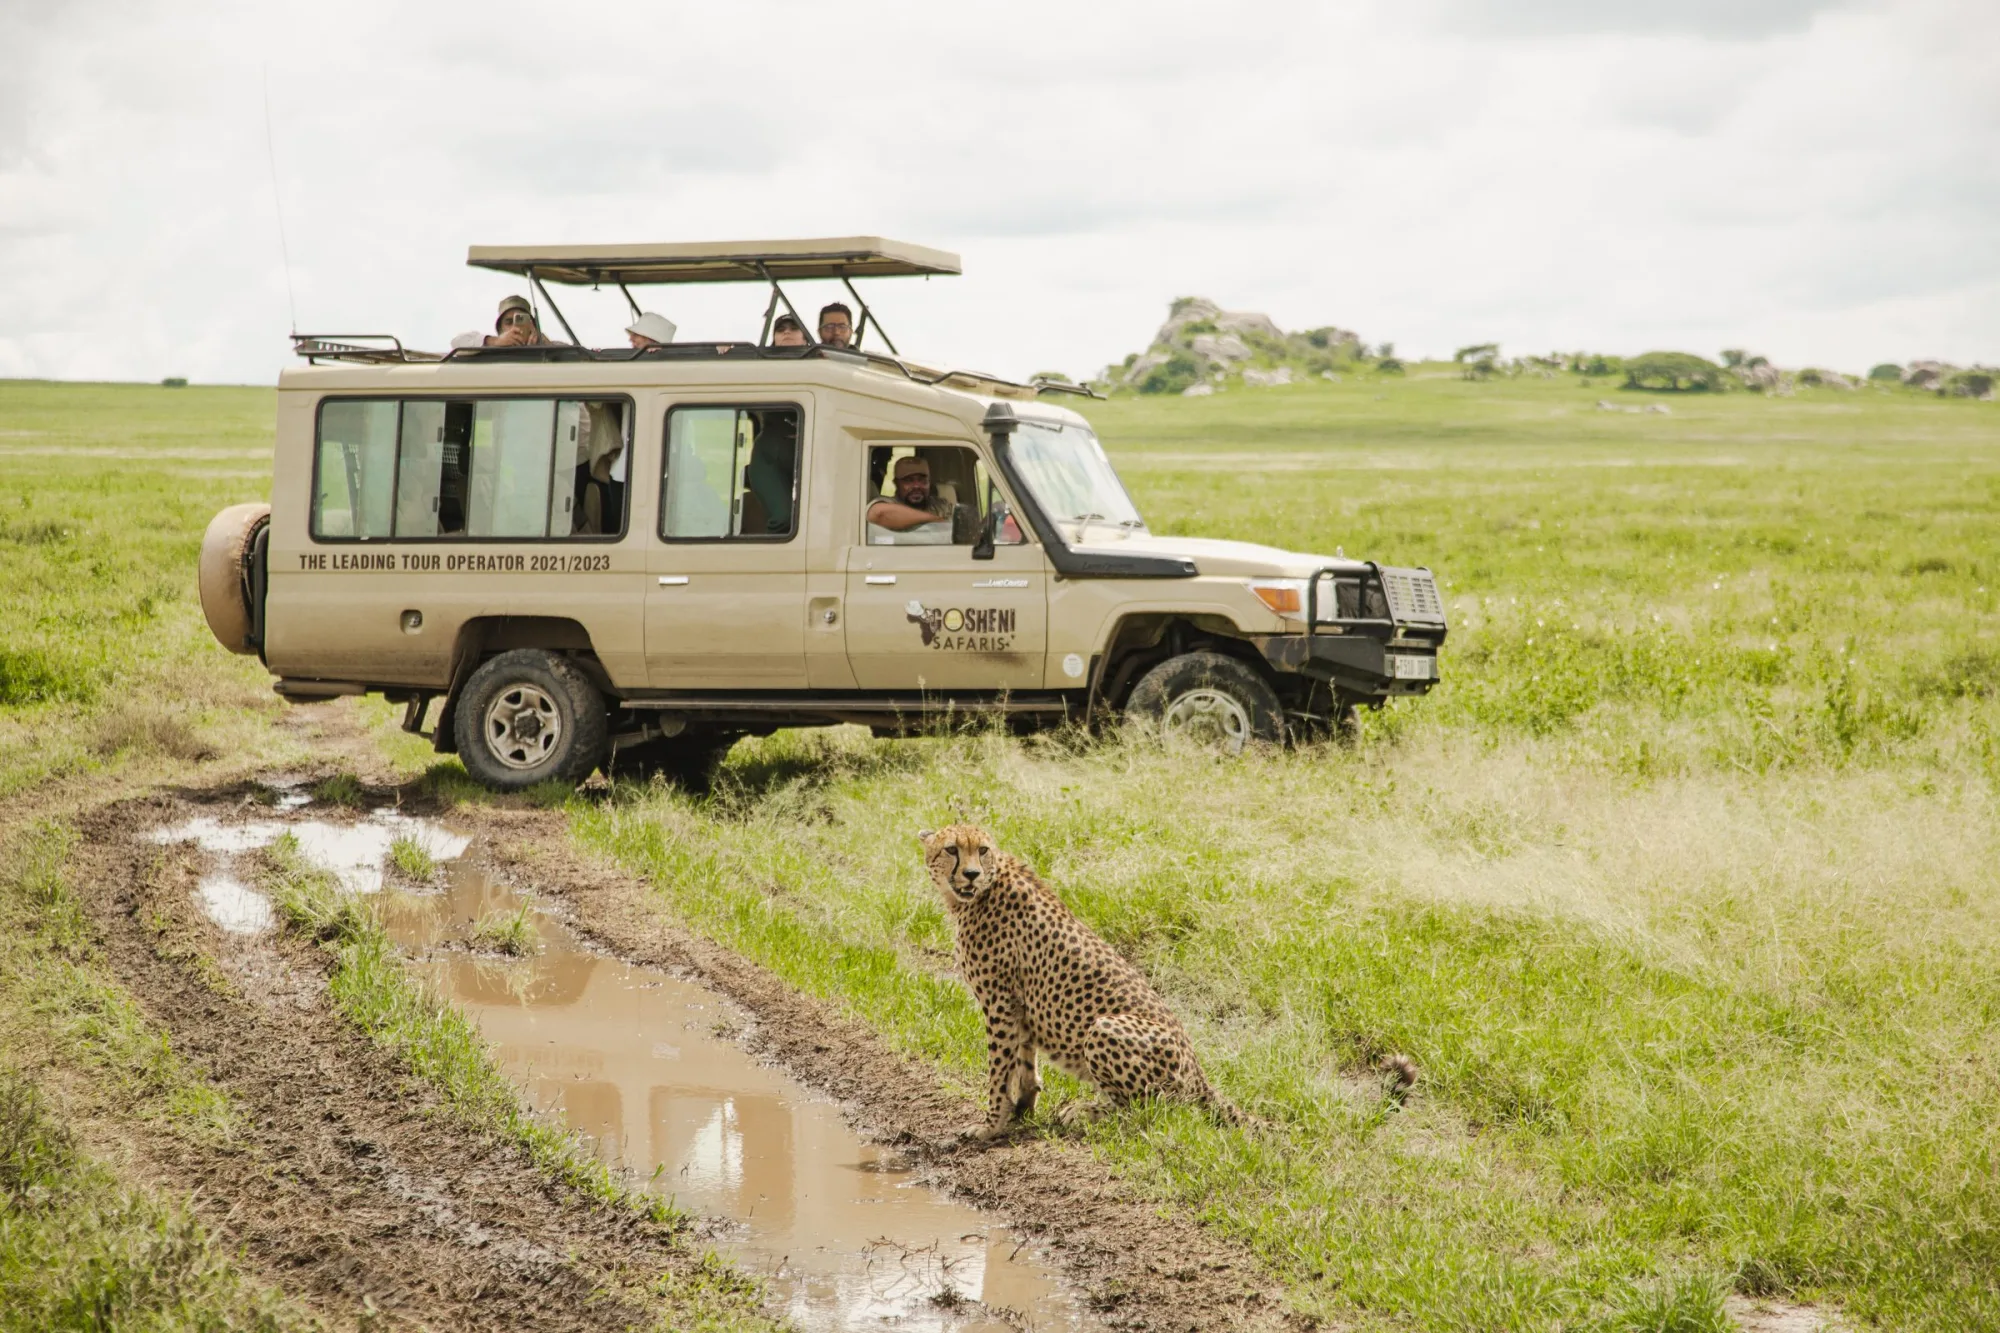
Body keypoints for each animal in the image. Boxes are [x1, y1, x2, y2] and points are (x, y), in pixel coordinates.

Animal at [921, 823, 1240, 1140]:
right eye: (952, 849)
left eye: (983, 850)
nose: (972, 874)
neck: (981, 890)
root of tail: (1199, 1074)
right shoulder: (1019, 1004)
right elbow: (1024, 1059)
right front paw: (1023, 1109)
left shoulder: (999, 1002)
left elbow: (999, 1069)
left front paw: (991, 1124)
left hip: (1104, 1028)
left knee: (1149, 1112)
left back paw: (1084, 1112)